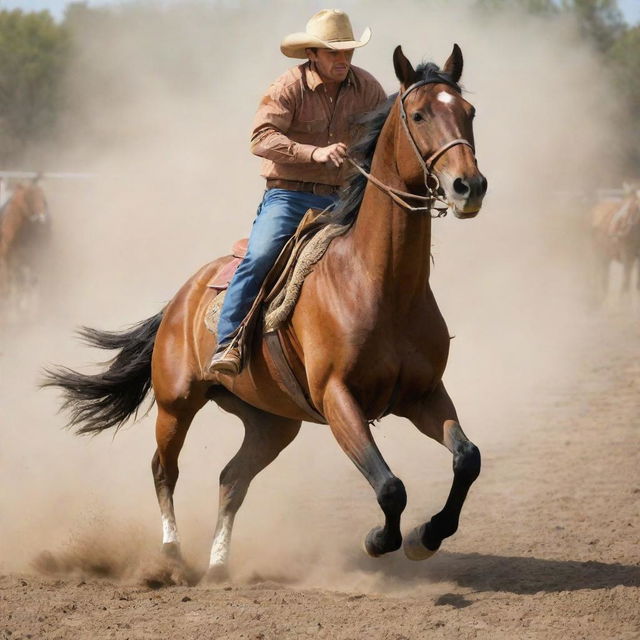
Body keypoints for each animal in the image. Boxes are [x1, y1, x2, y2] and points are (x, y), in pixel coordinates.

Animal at [43, 45, 484, 584]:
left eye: (469, 112)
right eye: (419, 114)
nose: (469, 186)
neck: (379, 283)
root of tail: (180, 298)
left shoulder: (423, 394)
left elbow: (467, 458)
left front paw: (427, 536)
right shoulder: (337, 398)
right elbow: (390, 486)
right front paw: (380, 541)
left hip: (272, 423)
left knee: (232, 478)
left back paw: (218, 565)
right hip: (176, 403)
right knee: (163, 469)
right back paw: (171, 557)